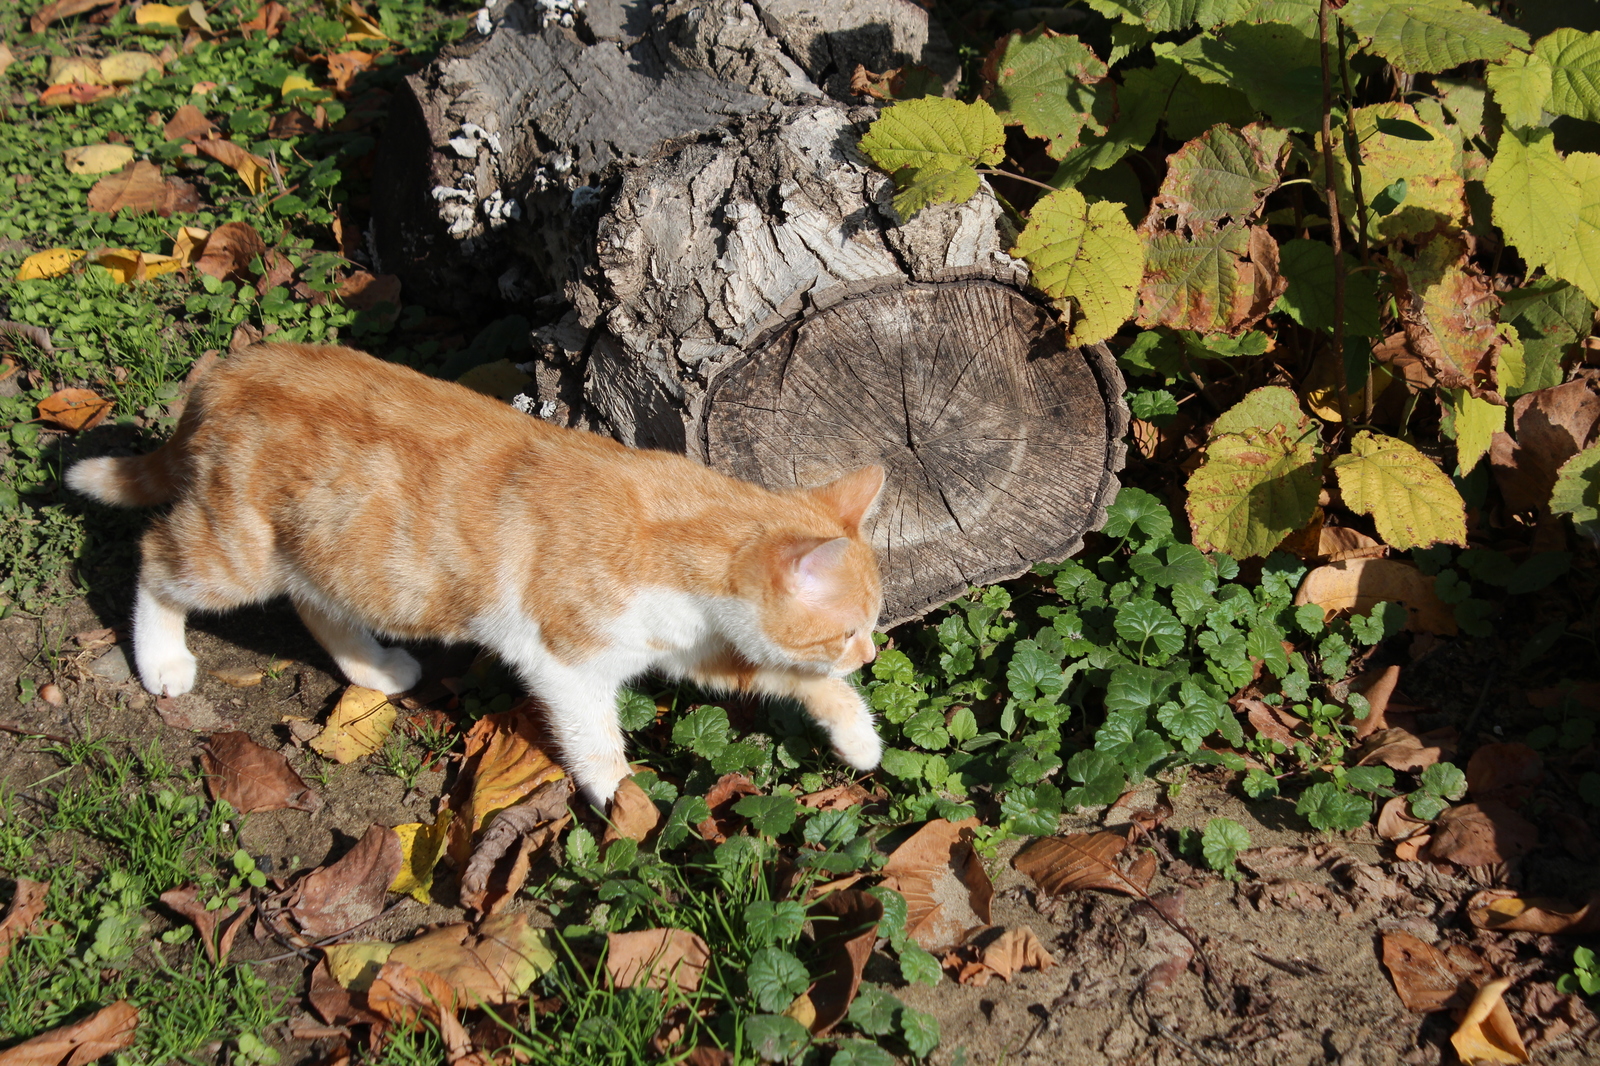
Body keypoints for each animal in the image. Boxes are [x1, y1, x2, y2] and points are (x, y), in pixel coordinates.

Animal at [68, 344, 889, 800]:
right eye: (849, 629)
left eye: (870, 628)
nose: (873, 653)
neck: (671, 531)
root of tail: (226, 370)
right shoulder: (566, 663)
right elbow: (595, 737)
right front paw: (622, 800)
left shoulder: (702, 650)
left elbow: (796, 681)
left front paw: (858, 735)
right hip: (235, 556)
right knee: (154, 557)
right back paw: (163, 658)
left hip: (339, 555)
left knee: (315, 604)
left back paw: (371, 667)